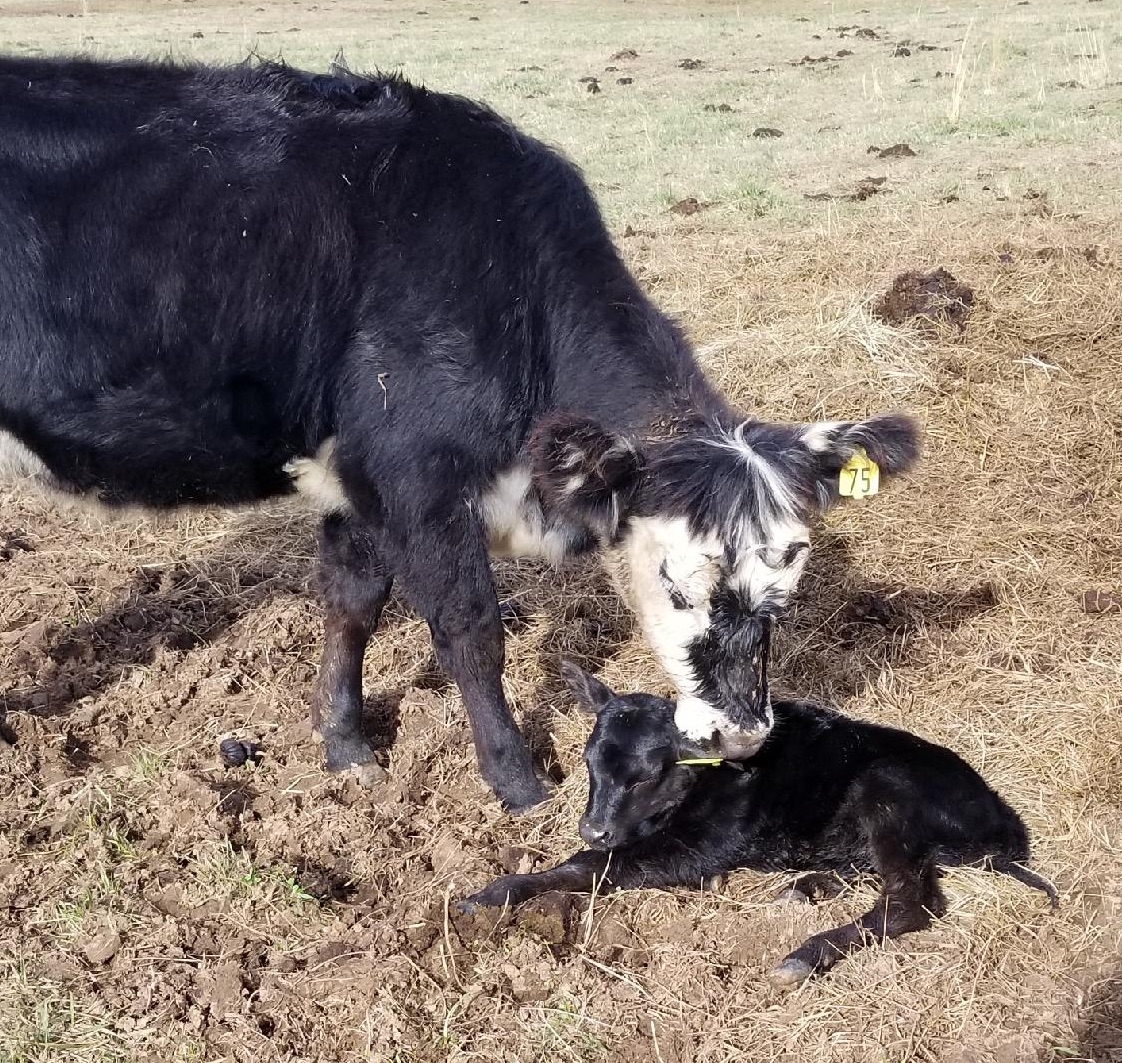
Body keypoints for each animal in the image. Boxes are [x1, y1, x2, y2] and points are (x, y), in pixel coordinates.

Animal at [0, 56, 920, 808]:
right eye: (678, 584)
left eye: (786, 585)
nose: (740, 733)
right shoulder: (420, 470)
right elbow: (471, 629)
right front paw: (518, 782)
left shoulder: (360, 473)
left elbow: (351, 602)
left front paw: (347, 749)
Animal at [460, 664, 1054, 987]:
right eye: (587, 763)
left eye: (647, 775)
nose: (592, 827)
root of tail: (1000, 824)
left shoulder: (701, 846)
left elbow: (593, 867)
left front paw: (497, 892)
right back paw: (806, 887)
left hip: (887, 787)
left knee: (909, 899)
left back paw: (804, 955)